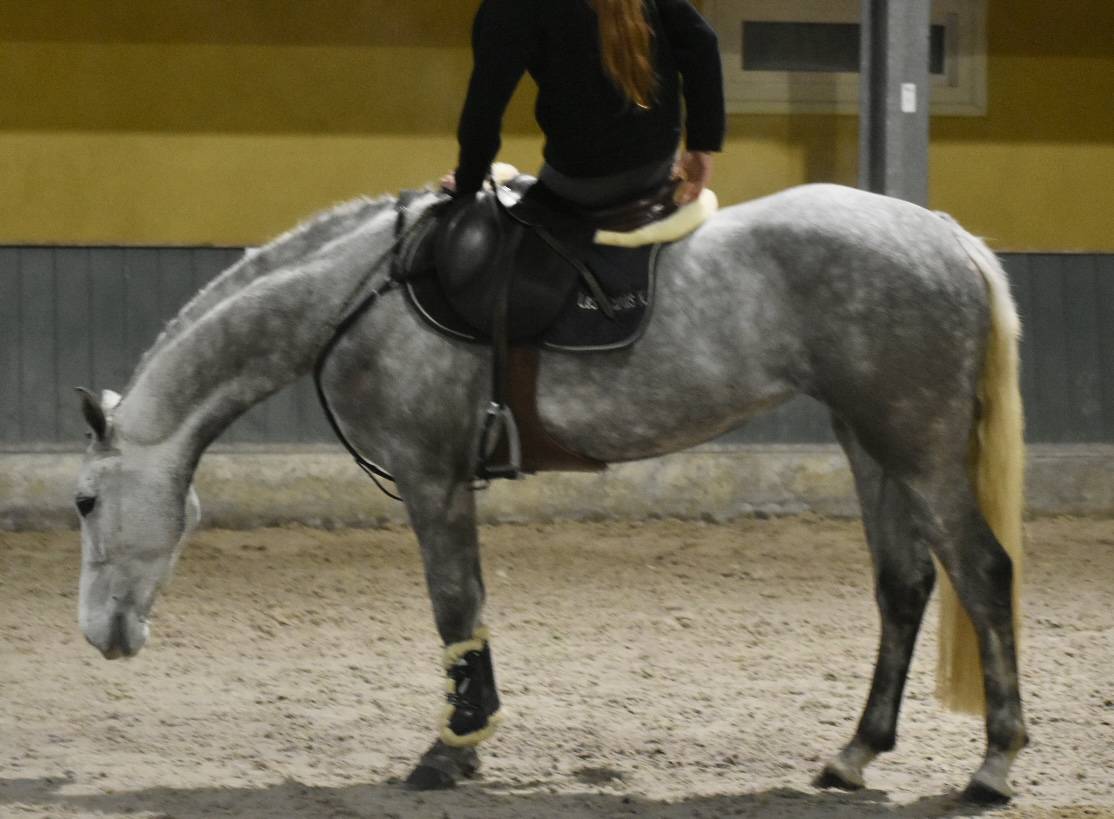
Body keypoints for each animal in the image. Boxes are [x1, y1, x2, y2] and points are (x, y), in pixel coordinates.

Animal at [73, 181, 1026, 803]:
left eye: (83, 500)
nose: (101, 636)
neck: (361, 295)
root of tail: (947, 235)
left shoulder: (429, 477)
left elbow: (455, 608)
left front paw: (449, 751)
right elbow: (470, 609)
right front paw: (467, 743)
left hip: (919, 447)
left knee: (983, 572)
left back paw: (993, 764)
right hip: (872, 445)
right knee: (904, 586)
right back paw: (854, 754)